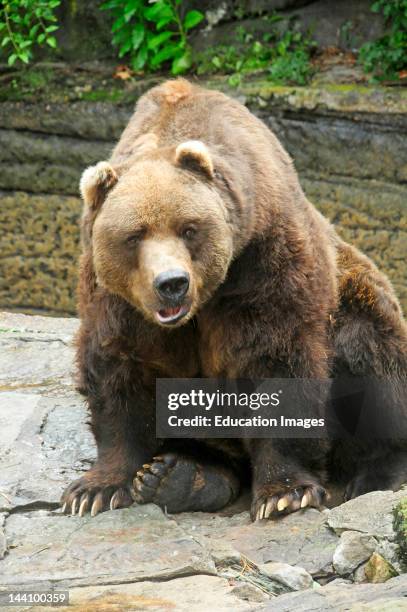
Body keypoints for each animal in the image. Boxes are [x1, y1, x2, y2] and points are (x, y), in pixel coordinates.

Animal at [62, 79, 407, 520]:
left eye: (188, 228)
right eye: (134, 235)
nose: (172, 283)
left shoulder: (263, 259)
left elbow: (276, 358)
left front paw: (284, 492)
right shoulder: (116, 298)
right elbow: (118, 368)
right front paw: (95, 489)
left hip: (355, 296)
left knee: (369, 351)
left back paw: (377, 474)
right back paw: (182, 477)